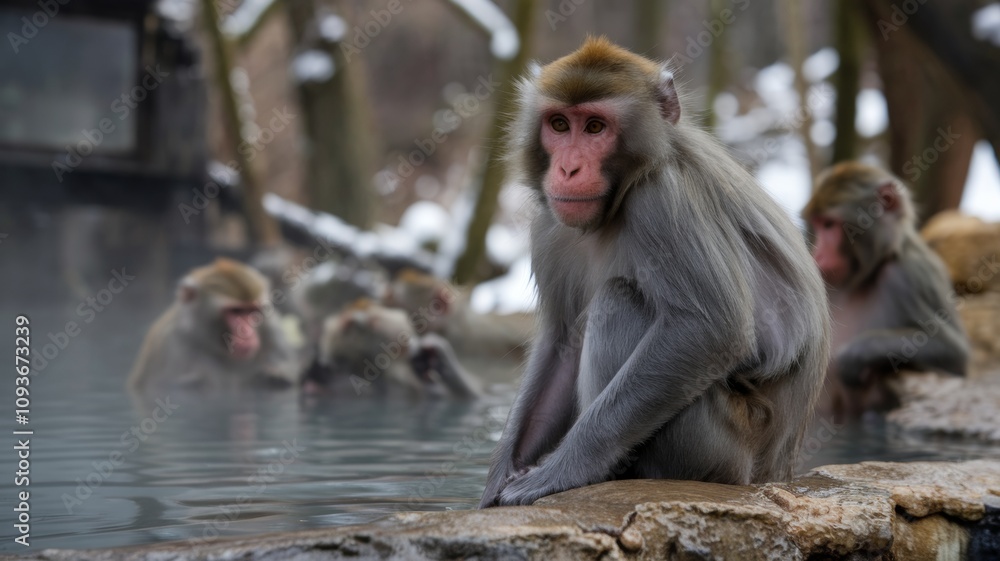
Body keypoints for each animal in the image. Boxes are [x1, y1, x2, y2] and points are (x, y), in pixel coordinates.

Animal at [479, 38, 830, 508]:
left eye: (595, 128)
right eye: (559, 125)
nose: (568, 169)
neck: (621, 196)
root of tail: (775, 471)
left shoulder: (663, 200)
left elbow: (709, 329)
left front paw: (561, 470)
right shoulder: (550, 225)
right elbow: (561, 344)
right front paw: (498, 475)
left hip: (718, 446)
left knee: (620, 302)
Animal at [802, 162, 969, 418]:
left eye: (828, 224)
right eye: (818, 224)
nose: (817, 253)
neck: (862, 277)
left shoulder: (910, 276)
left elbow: (953, 355)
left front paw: (855, 354)